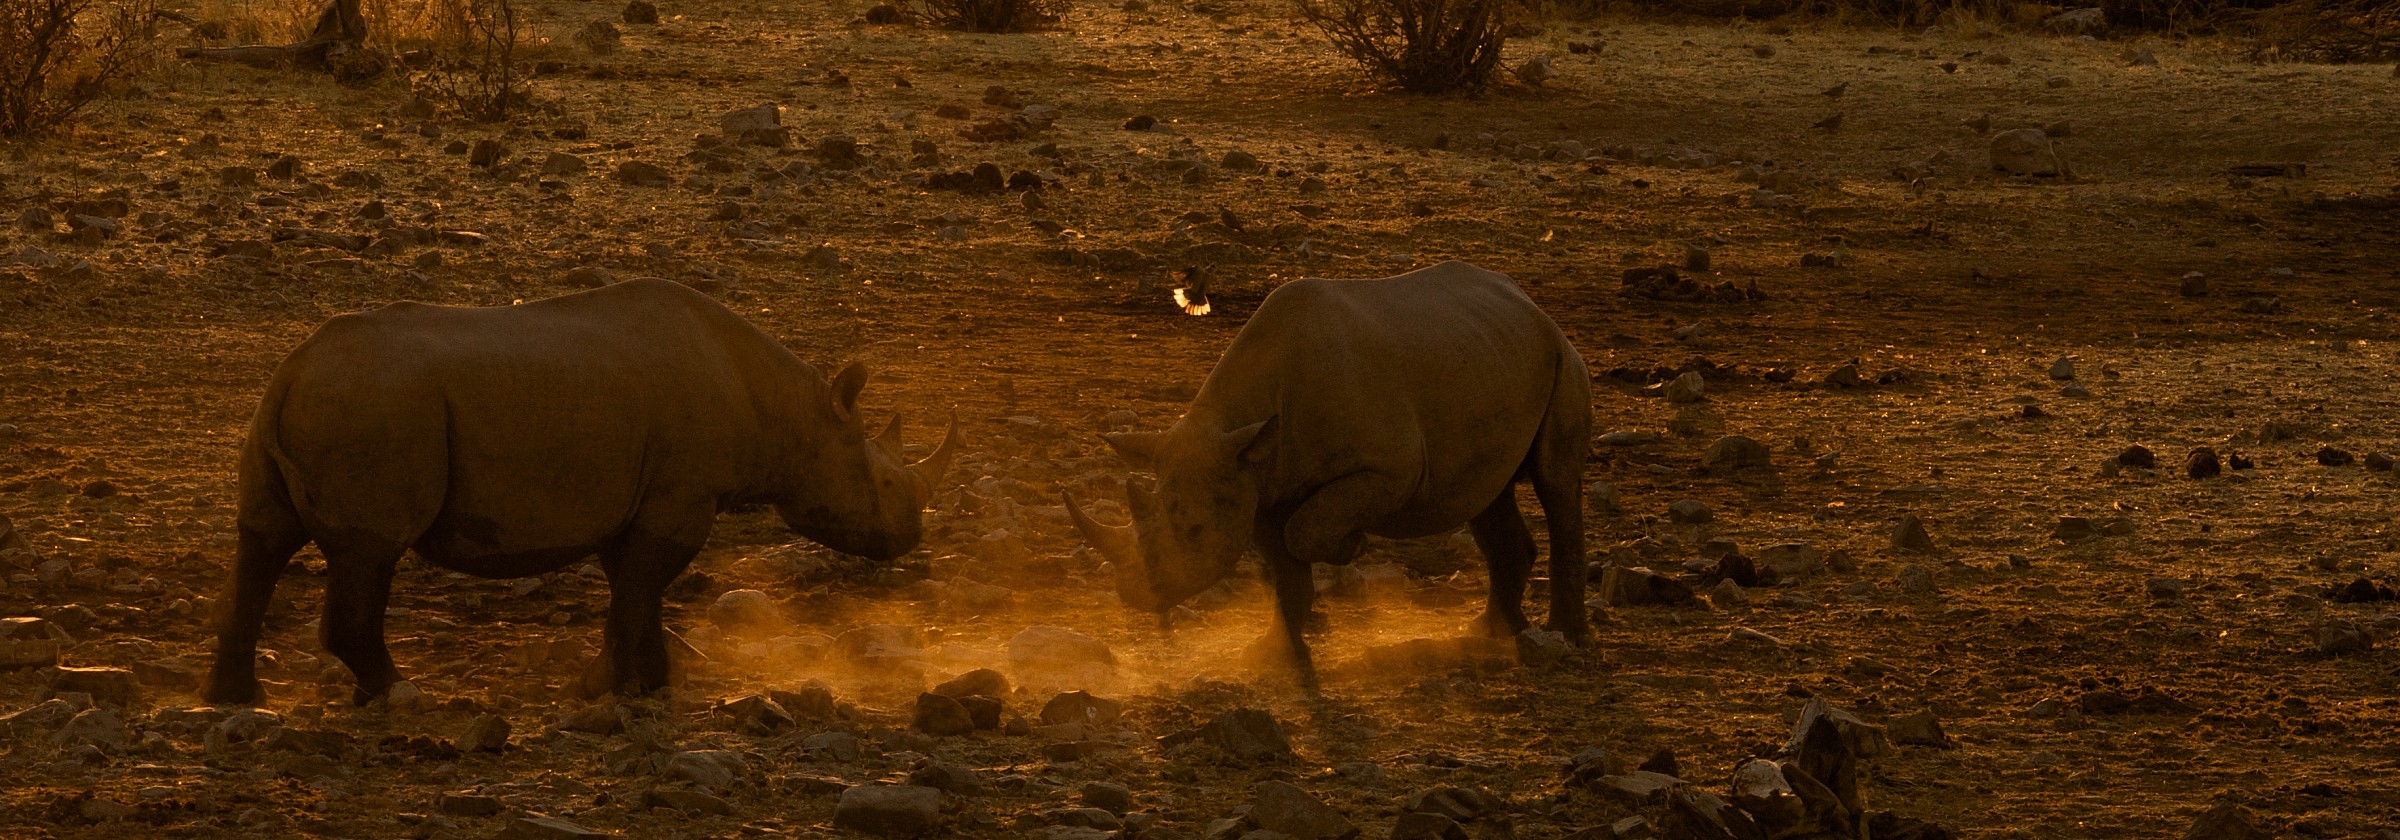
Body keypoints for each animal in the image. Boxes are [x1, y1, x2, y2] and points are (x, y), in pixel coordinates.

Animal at [202, 279, 955, 705]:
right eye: (887, 482)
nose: (911, 537)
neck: (793, 411)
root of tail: (294, 369)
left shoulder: (644, 499)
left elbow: (633, 592)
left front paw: (633, 685)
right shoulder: (680, 497)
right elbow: (640, 589)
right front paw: (616, 690)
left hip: (311, 406)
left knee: (262, 540)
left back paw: (234, 700)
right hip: (375, 412)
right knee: (368, 553)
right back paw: (405, 696)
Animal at [1067, 260, 1590, 675]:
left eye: (1195, 532)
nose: (1135, 594)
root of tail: (1530, 305)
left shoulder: (1390, 472)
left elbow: (1301, 535)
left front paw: (1350, 546)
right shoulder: (1257, 480)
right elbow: (1284, 569)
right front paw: (1273, 655)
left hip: (1561, 356)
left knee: (1556, 482)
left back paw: (1564, 638)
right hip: (1487, 355)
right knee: (1486, 493)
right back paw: (1491, 632)